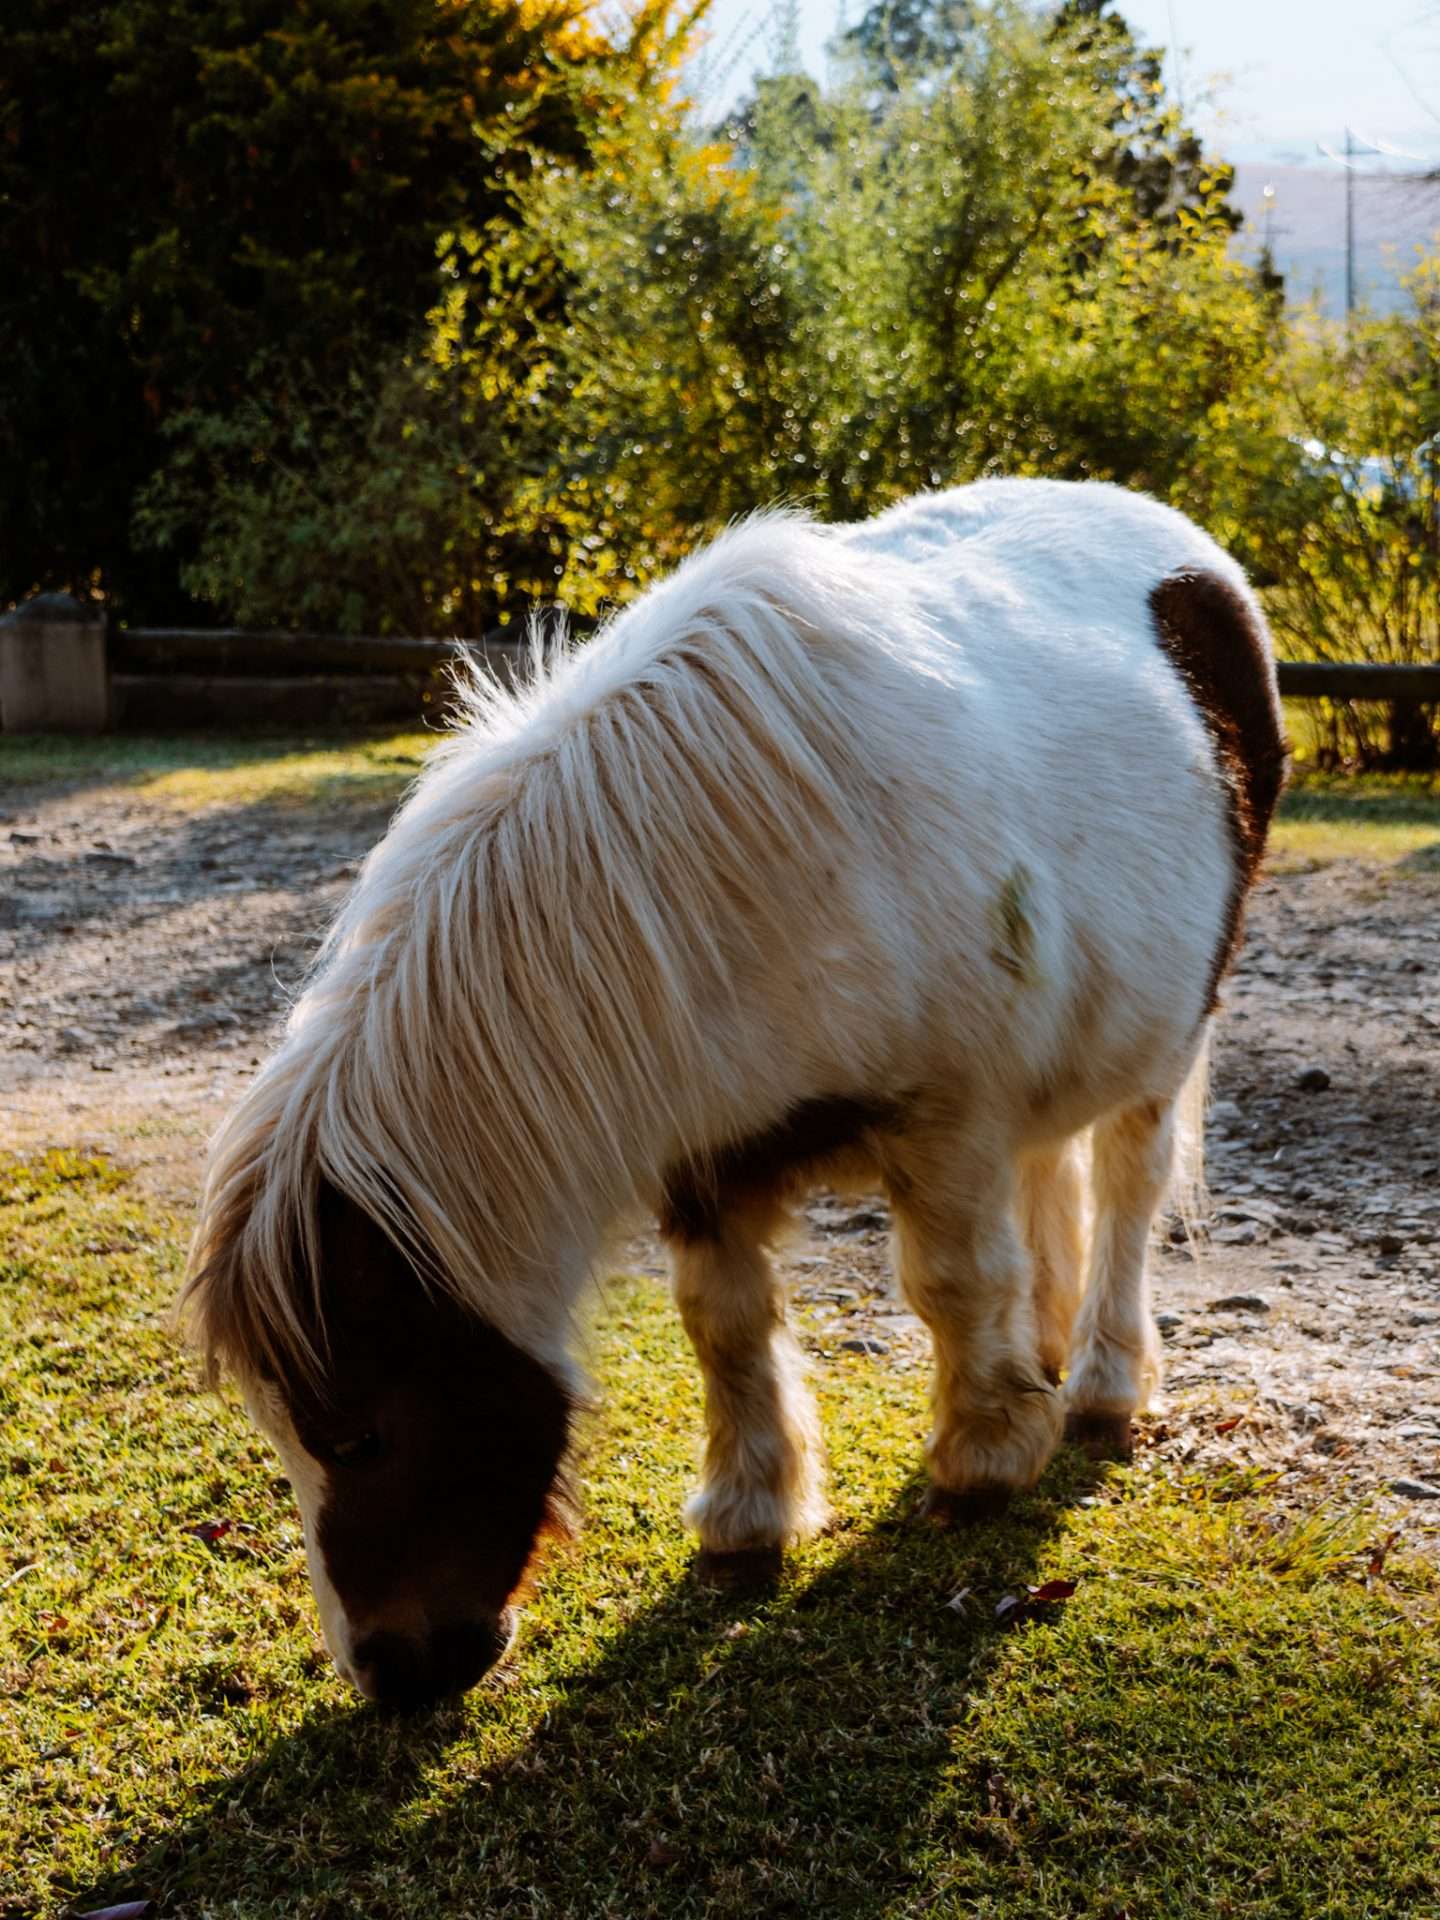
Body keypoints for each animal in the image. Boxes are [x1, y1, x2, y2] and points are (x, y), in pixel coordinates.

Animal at [182, 478, 1286, 1708]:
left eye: (356, 1433)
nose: (389, 1673)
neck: (737, 869)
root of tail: (1176, 540)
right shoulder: (702, 1151)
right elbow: (724, 1323)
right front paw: (750, 1518)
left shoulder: (944, 1116)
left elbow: (951, 1284)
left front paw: (984, 1460)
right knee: (1053, 1167)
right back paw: (1044, 1350)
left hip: (1174, 1029)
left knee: (1131, 1188)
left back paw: (1096, 1386)